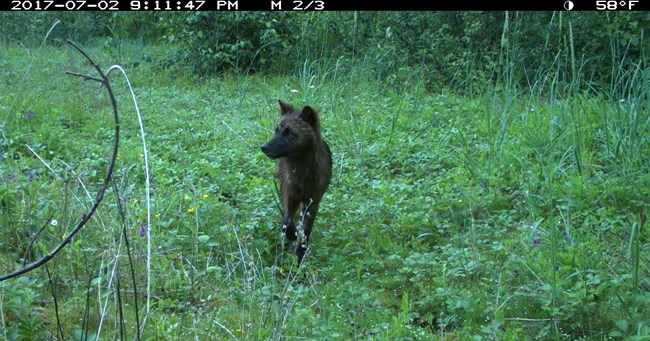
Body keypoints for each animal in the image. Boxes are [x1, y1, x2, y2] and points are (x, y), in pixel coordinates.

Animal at [260, 99, 332, 262]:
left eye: (290, 133)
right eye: (277, 130)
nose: (264, 147)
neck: (302, 175)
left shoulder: (313, 201)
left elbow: (306, 231)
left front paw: (299, 253)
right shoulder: (290, 194)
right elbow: (286, 220)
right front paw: (292, 235)